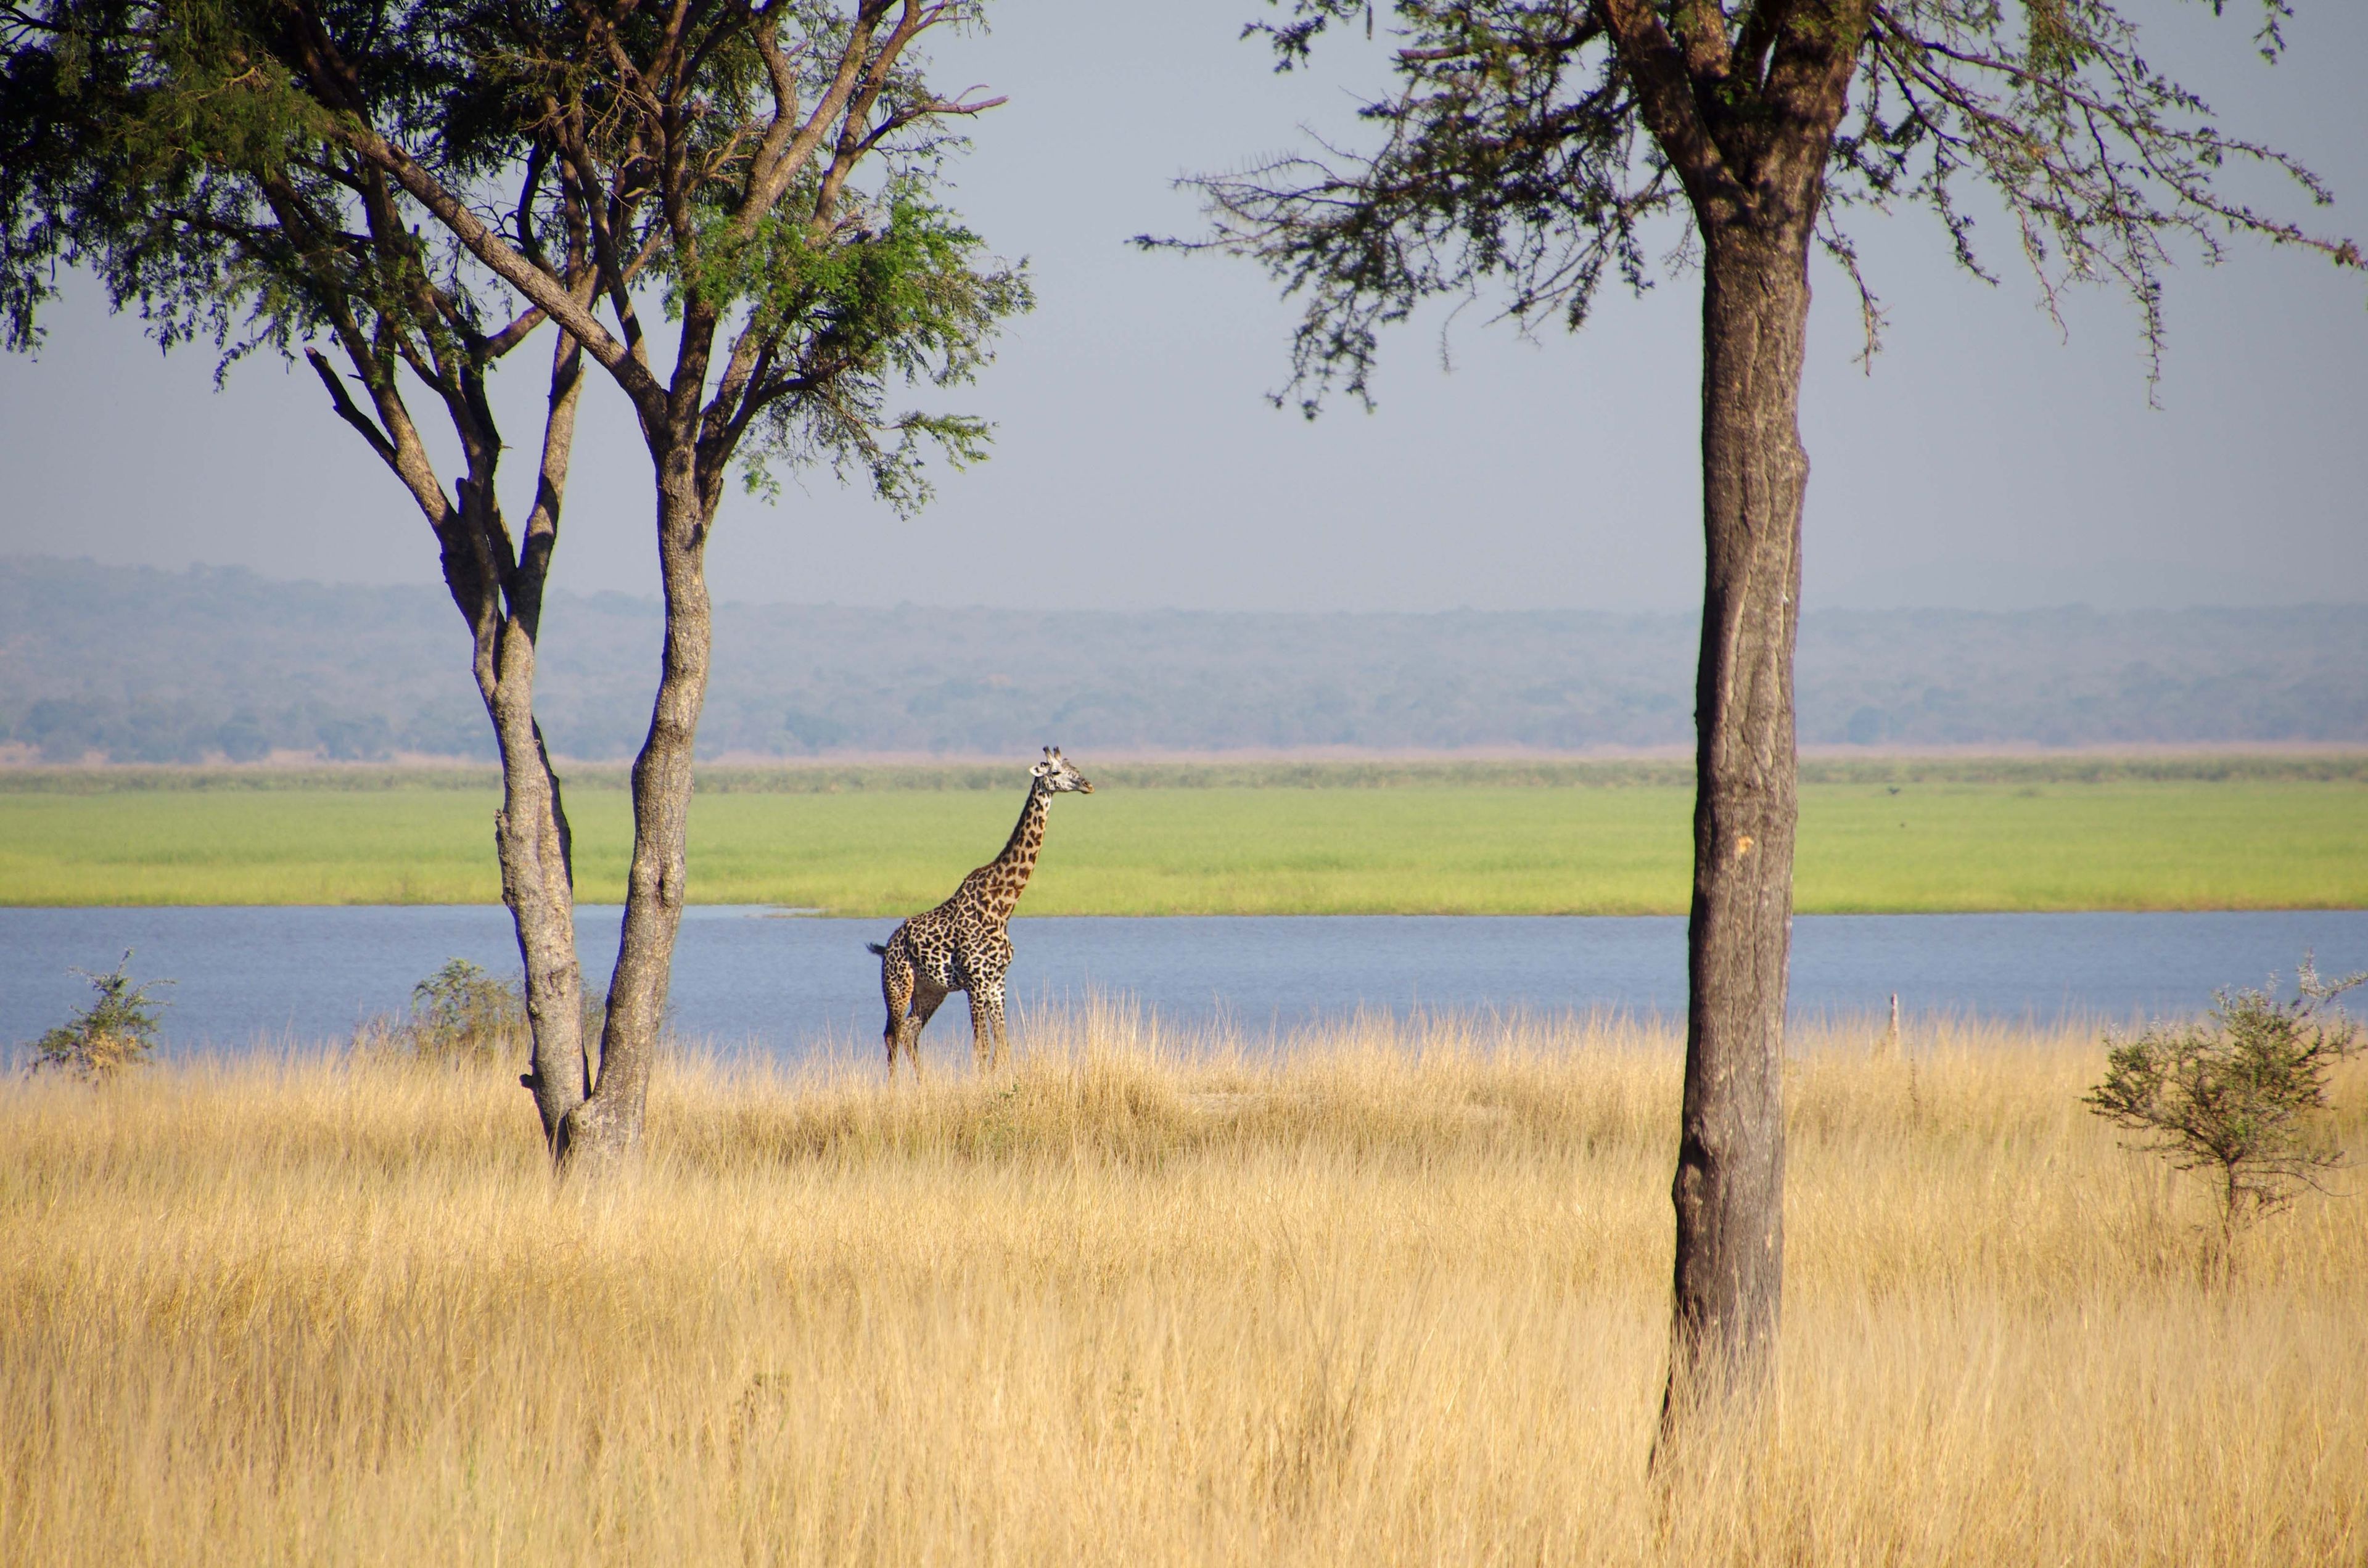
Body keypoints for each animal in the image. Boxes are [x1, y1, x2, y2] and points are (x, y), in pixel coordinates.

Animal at [867, 747, 1095, 1075]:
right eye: (1055, 772)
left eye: (1073, 767)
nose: (1088, 785)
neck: (1002, 906)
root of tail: (888, 946)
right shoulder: (975, 983)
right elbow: (982, 1048)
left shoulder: (997, 983)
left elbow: (1003, 1048)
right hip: (897, 985)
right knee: (891, 1034)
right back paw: (896, 1086)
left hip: (931, 990)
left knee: (909, 1031)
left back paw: (923, 1083)